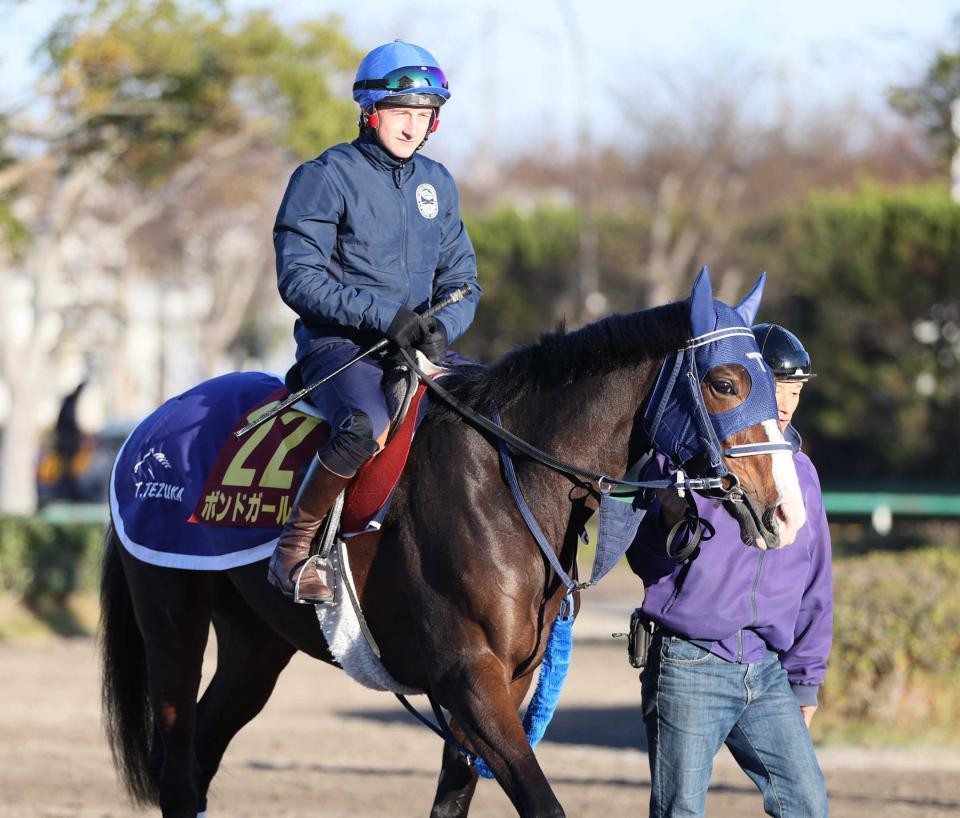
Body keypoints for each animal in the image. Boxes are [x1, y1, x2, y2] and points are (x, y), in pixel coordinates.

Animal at [99, 270, 804, 816]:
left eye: (771, 385)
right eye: (725, 383)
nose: (787, 511)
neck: (504, 479)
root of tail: (152, 425)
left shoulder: (507, 680)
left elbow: (454, 800)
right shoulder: (468, 675)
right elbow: (543, 804)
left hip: (256, 646)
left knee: (202, 758)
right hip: (172, 624)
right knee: (177, 768)